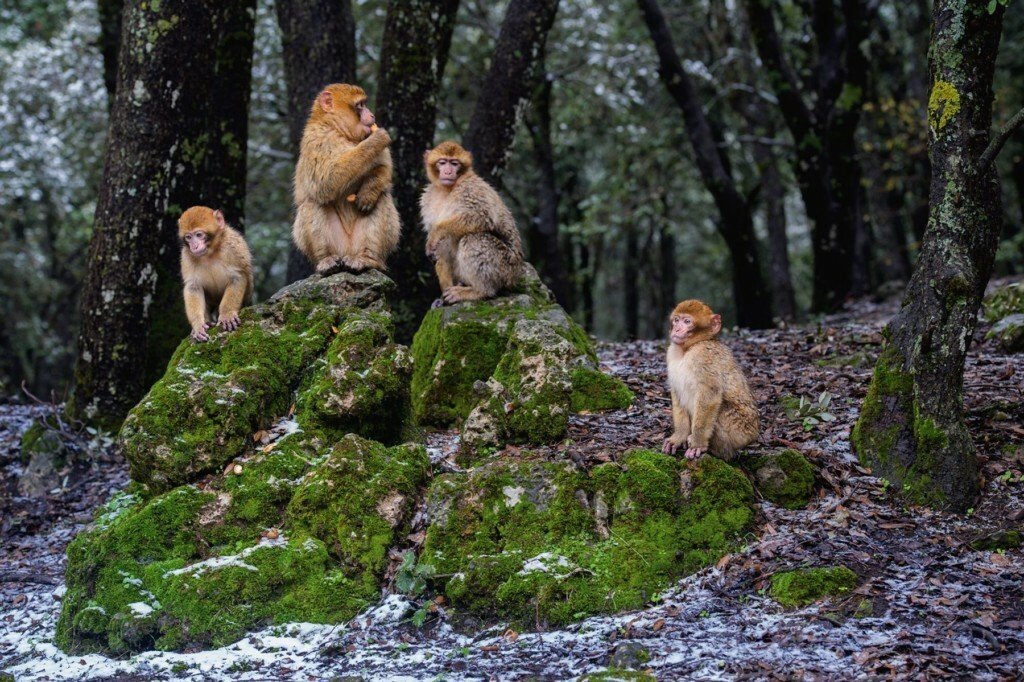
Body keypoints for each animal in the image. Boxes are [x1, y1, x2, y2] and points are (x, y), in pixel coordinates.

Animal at [178, 206, 254, 343]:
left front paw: (227, 314)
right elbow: (193, 287)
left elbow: (238, 277)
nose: (194, 246)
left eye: (199, 235)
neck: (210, 252)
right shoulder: (186, 256)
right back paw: (207, 322)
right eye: (188, 237)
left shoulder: (233, 247)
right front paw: (198, 325)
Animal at [292, 84, 401, 274]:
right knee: (312, 201)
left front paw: (368, 192)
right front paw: (376, 140)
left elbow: (384, 170)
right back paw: (326, 260)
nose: (372, 115)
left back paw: (367, 259)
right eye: (360, 105)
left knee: (381, 198)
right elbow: (324, 183)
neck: (338, 130)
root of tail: (348, 251)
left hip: (358, 244)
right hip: (338, 245)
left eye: (364, 104)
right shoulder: (315, 139)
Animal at [420, 140, 524, 305]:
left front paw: (435, 233)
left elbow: (481, 217)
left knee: (473, 238)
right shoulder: (428, 199)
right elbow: (440, 245)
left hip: (505, 268)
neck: (447, 189)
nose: (448, 172)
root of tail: (515, 276)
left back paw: (480, 291)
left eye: (454, 163)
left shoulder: (469, 189)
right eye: (442, 162)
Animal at [662, 299, 760, 461]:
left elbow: (709, 395)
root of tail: (754, 435)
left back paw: (720, 452)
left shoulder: (703, 357)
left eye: (687, 321)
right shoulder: (671, 352)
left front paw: (698, 444)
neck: (689, 348)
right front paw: (678, 437)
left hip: (740, 431)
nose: (676, 329)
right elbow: (677, 393)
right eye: (676, 320)